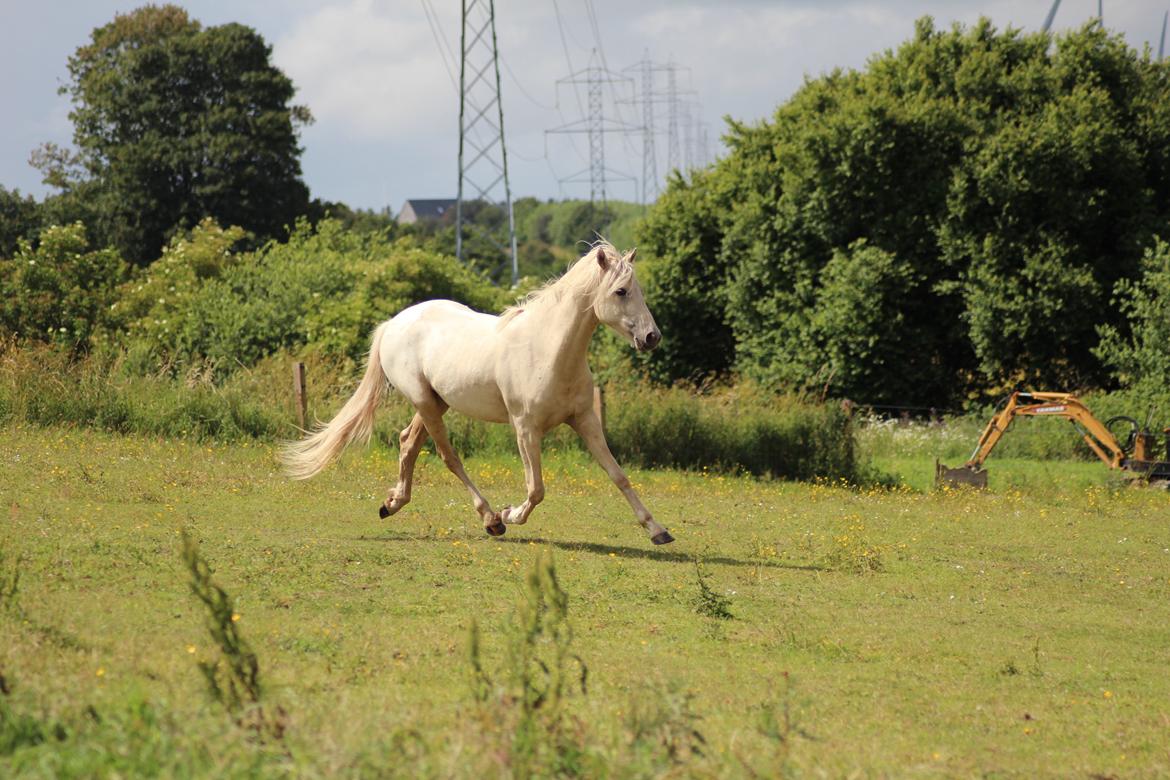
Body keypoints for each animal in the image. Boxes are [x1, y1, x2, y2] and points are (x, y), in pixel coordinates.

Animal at [277, 242, 673, 542]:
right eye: (620, 291)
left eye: (638, 290)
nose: (652, 337)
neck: (547, 349)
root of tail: (393, 323)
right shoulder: (525, 428)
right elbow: (536, 488)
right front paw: (510, 514)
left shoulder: (585, 419)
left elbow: (618, 475)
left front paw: (658, 530)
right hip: (425, 402)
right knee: (448, 456)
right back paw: (490, 519)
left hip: (435, 402)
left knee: (408, 442)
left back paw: (392, 504)